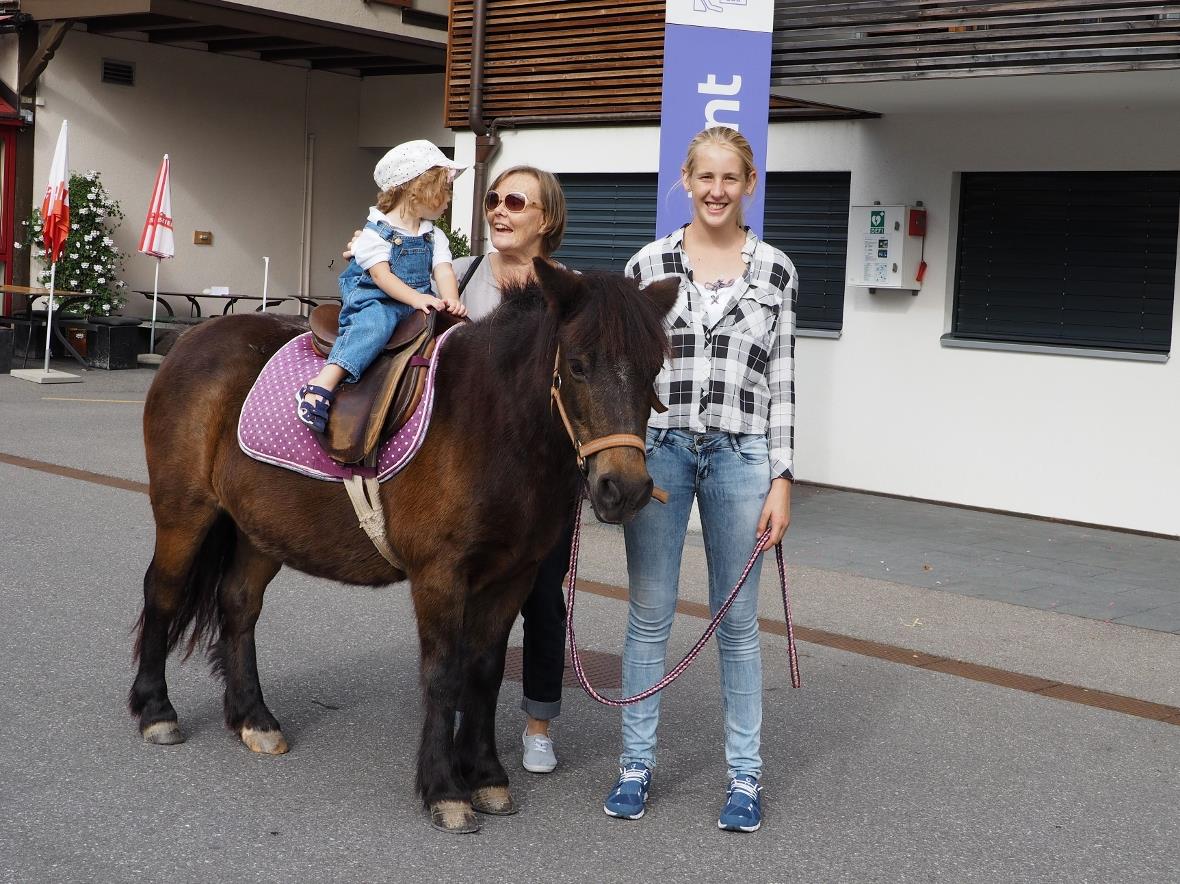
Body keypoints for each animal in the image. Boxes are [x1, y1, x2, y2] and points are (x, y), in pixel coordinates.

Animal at [129, 259, 680, 833]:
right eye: (577, 365)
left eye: (652, 370)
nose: (625, 489)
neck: (492, 424)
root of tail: (191, 340)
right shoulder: (440, 576)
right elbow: (442, 676)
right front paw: (445, 789)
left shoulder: (512, 578)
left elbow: (484, 672)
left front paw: (486, 776)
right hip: (184, 512)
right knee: (162, 593)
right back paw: (156, 711)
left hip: (259, 530)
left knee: (238, 605)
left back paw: (253, 719)